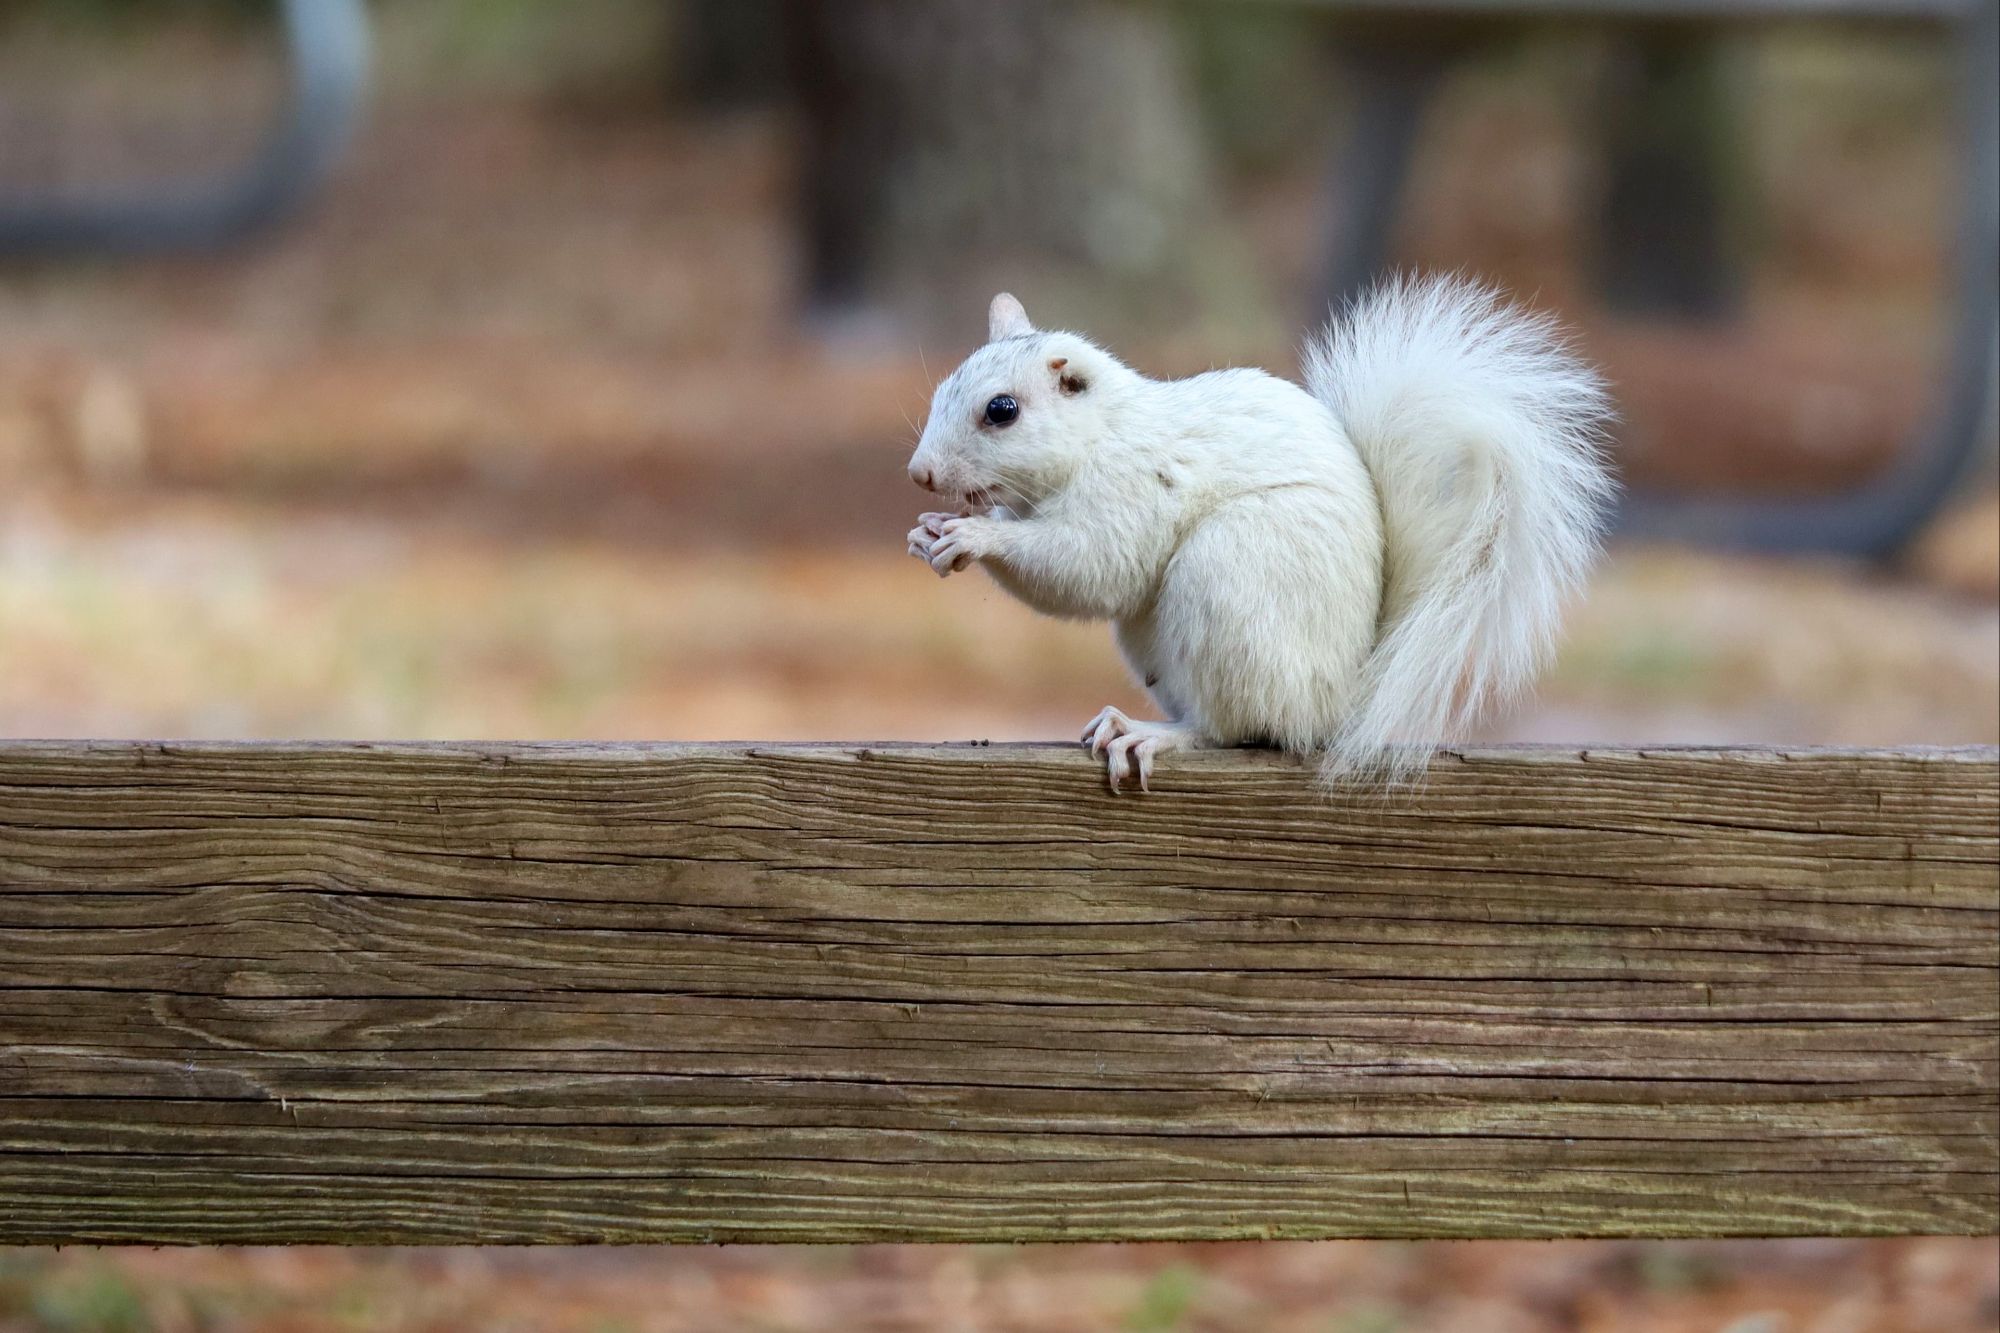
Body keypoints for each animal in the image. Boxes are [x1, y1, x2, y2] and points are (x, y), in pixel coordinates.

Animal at [908, 272, 1608, 788]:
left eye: (1003, 410)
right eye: (941, 390)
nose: (920, 473)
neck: (1099, 437)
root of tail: (1338, 703)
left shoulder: (1133, 489)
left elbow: (1090, 568)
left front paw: (975, 538)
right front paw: (931, 532)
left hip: (1229, 573)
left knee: (1234, 729)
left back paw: (1155, 733)